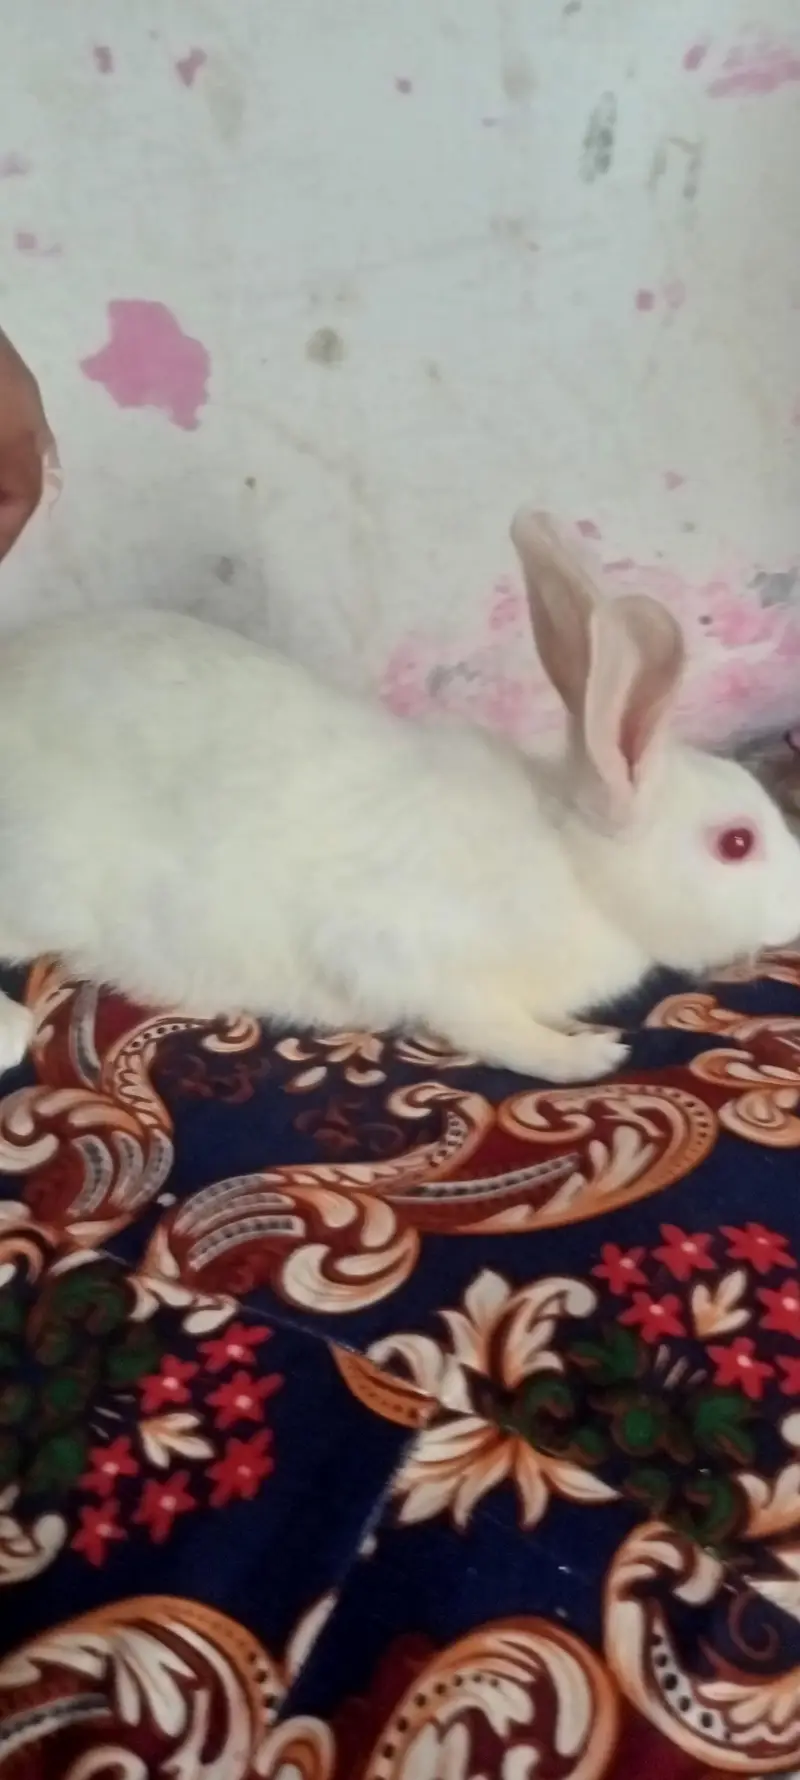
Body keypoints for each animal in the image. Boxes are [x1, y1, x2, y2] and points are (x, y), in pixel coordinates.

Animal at [0, 508, 798, 1085]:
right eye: (736, 842)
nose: (795, 910)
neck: (574, 866)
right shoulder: (414, 959)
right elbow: (491, 1029)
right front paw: (588, 1055)